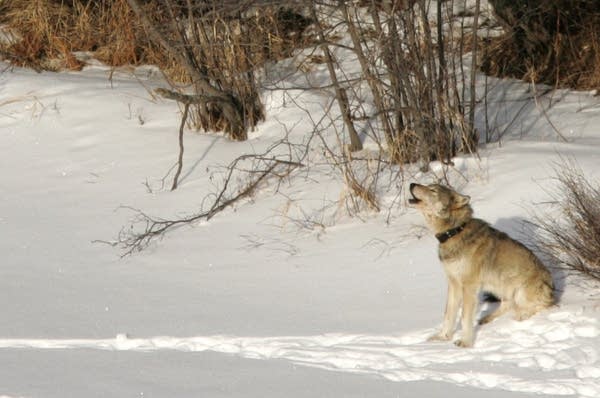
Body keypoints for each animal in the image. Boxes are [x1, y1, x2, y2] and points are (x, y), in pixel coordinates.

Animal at [408, 182, 552, 346]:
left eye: (433, 190)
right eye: (429, 185)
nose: (411, 184)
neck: (455, 231)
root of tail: (553, 287)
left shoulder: (469, 286)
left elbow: (465, 317)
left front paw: (465, 343)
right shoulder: (453, 284)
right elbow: (448, 314)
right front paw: (442, 338)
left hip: (520, 292)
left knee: (546, 305)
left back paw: (523, 315)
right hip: (499, 287)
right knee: (508, 303)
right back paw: (486, 318)